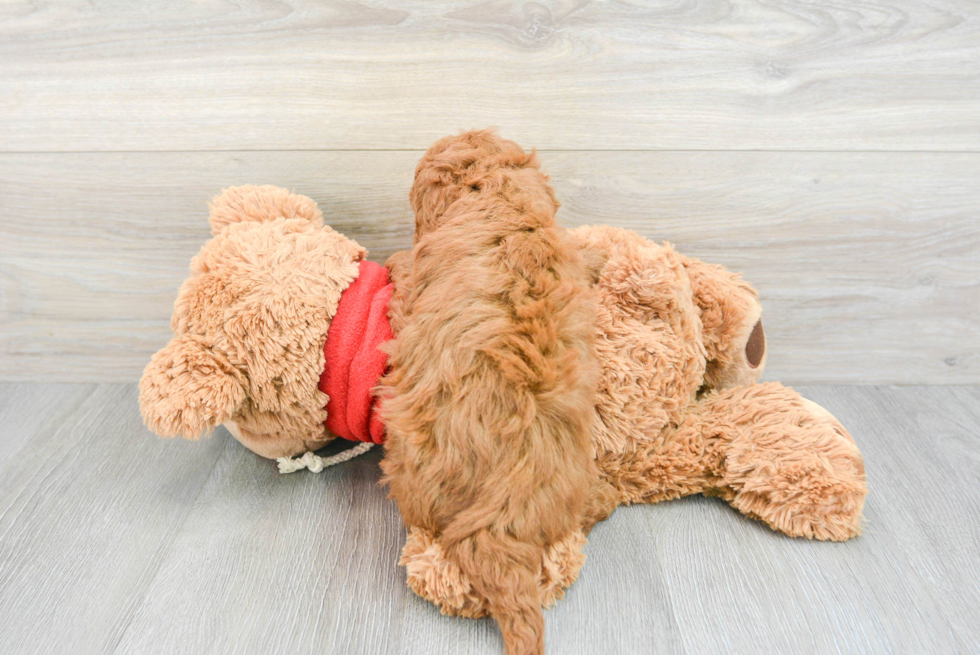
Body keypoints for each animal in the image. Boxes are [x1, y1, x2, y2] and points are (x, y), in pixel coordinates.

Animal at [380, 129, 596, 655]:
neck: (502, 194)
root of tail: (501, 516)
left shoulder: (419, 282)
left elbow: (405, 277)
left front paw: (393, 262)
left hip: (409, 460)